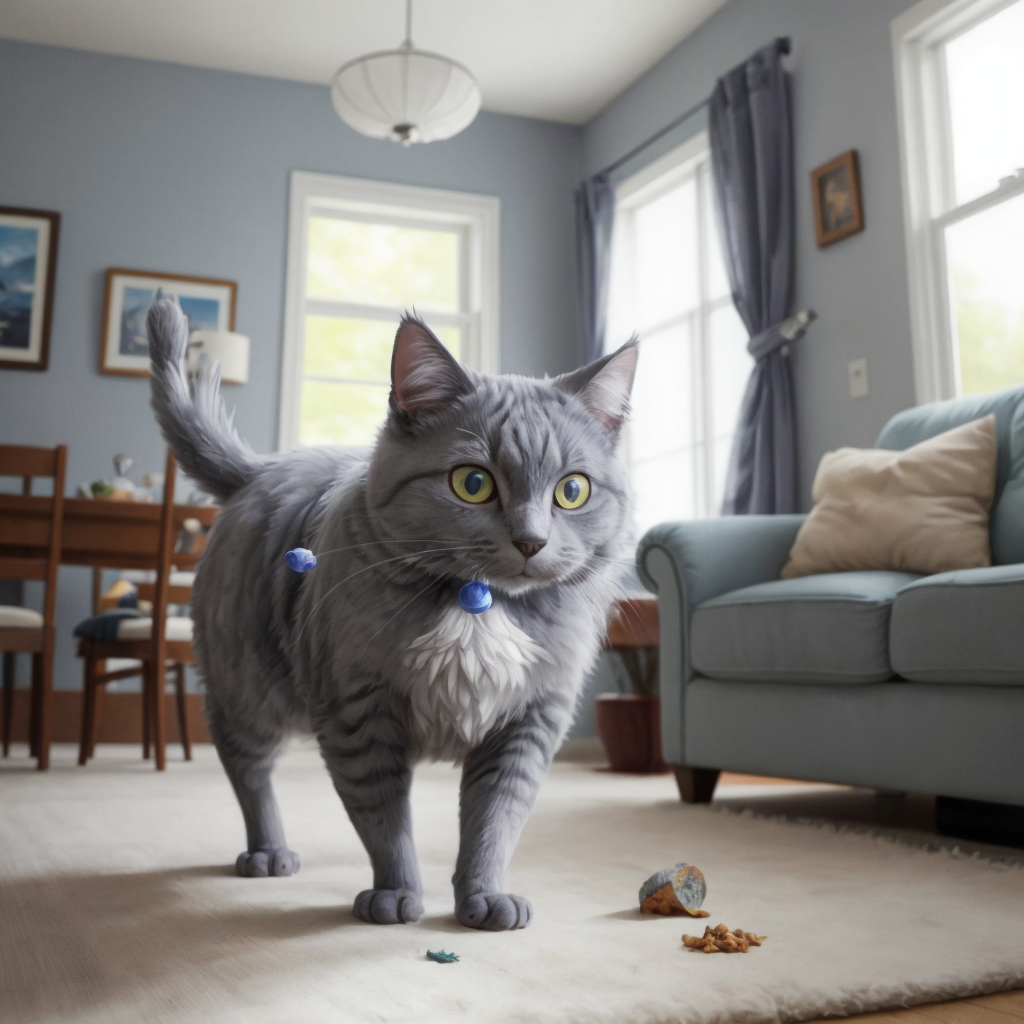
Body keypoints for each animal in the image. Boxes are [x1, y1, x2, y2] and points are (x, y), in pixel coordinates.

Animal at [148, 299, 634, 933]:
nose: (532, 541)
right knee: (246, 767)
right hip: (250, 687)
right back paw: (267, 852)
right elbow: (382, 819)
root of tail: (263, 468)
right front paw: (395, 894)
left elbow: (494, 821)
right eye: (472, 483)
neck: (479, 603)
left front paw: (483, 897)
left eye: (572, 491)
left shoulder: (528, 724)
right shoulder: (359, 713)